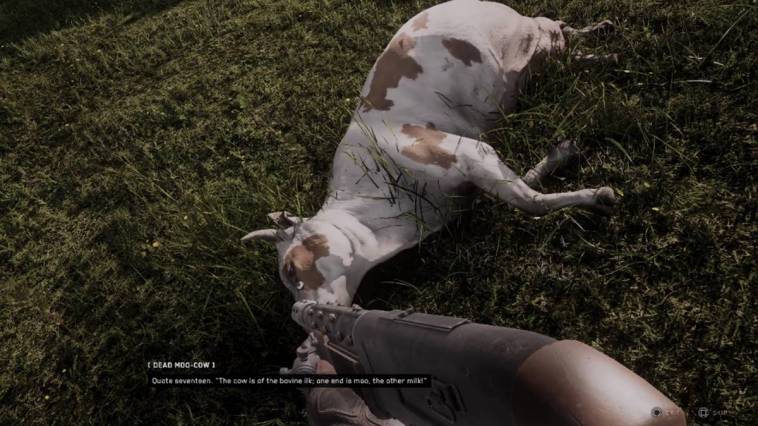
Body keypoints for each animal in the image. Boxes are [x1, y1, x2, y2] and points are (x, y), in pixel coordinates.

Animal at [243, 0, 618, 307]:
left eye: (291, 269)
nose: (300, 316)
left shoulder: (468, 152)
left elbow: (530, 202)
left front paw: (594, 196)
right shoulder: (474, 182)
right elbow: (521, 185)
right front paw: (562, 154)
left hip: (531, 41)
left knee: (559, 30)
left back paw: (602, 42)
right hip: (534, 63)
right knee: (565, 47)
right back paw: (601, 44)